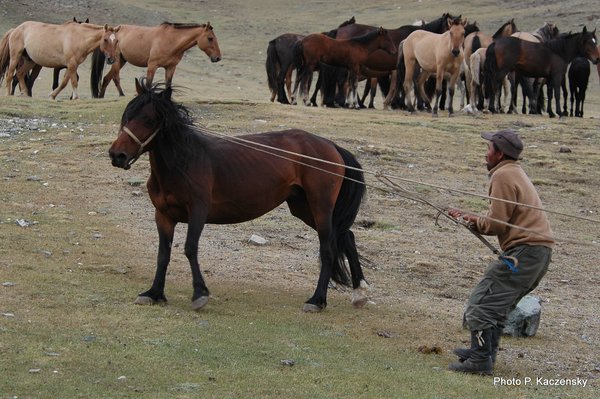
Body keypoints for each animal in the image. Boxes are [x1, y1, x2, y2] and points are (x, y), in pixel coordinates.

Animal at [92, 23, 224, 99]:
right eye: (210, 38)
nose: (218, 58)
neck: (171, 41)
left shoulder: (171, 67)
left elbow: (168, 84)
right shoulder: (152, 65)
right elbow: (149, 84)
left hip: (122, 61)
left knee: (107, 78)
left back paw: (101, 96)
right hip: (116, 60)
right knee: (115, 77)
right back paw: (121, 94)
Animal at [109, 79, 368, 314]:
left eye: (149, 120)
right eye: (127, 116)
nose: (117, 155)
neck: (182, 163)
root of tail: (330, 146)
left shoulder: (198, 212)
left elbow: (190, 248)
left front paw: (200, 294)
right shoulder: (163, 216)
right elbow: (163, 255)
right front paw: (154, 293)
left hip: (320, 206)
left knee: (328, 249)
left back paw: (317, 300)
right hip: (303, 208)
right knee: (346, 237)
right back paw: (359, 292)